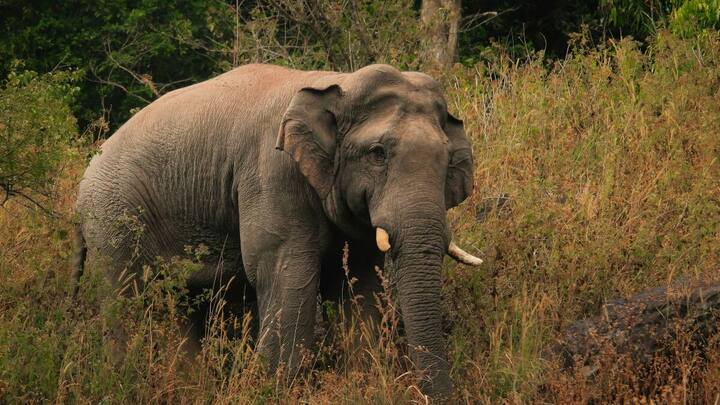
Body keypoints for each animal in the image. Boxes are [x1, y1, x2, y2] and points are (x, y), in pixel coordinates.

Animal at [73, 63, 482, 400]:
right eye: (377, 153)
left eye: (447, 159)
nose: (429, 395)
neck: (338, 83)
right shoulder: (272, 173)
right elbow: (287, 274)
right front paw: (274, 388)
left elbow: (359, 283)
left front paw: (364, 384)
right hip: (112, 216)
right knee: (126, 300)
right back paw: (122, 383)